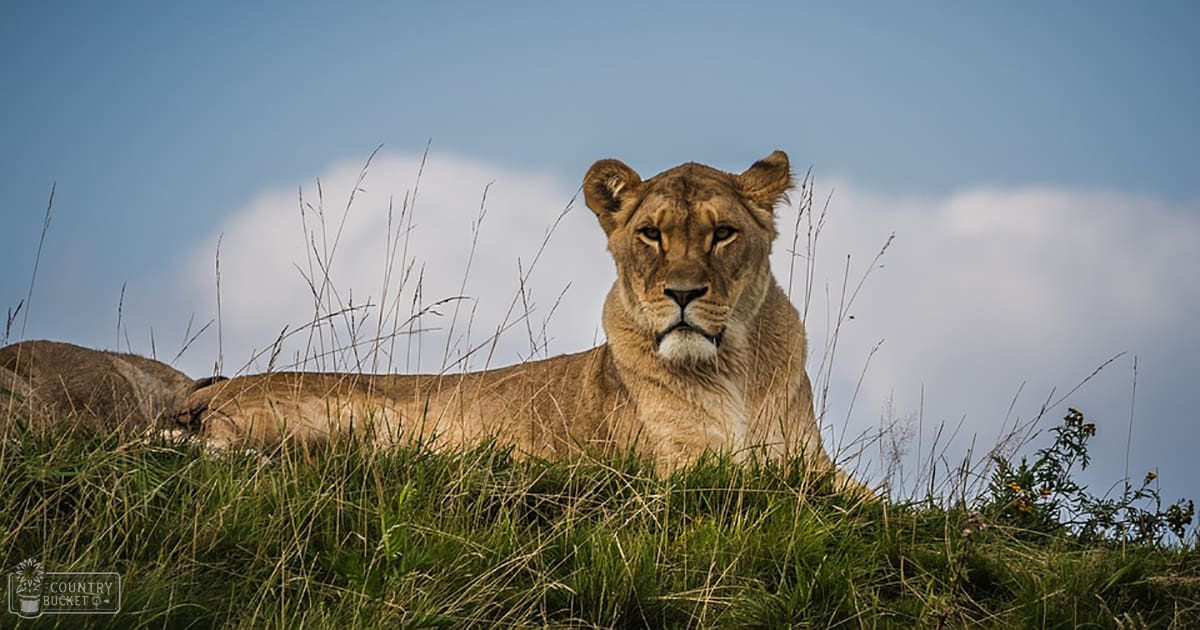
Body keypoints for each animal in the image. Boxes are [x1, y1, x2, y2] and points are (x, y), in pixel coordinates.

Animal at [178, 151, 868, 493]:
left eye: (723, 234)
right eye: (650, 234)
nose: (682, 293)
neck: (730, 370)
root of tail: (211, 390)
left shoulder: (812, 465)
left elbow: (877, 503)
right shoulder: (681, 469)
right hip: (349, 422)